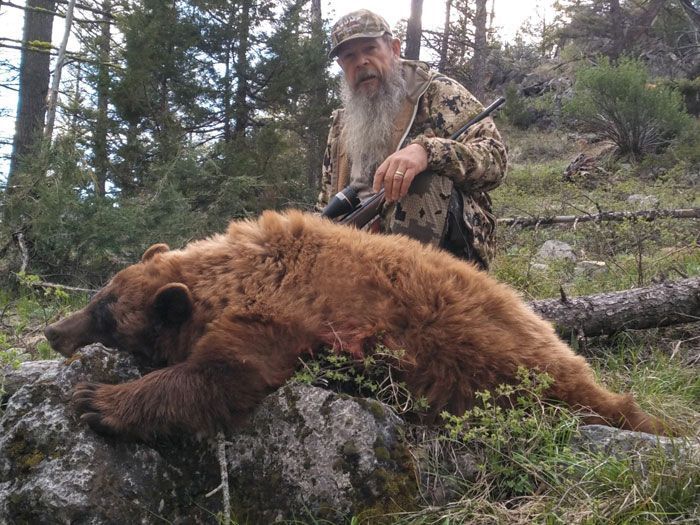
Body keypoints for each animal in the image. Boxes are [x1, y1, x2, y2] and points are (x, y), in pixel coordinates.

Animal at [44, 210, 670, 440]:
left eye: (105, 313)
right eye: (99, 295)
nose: (52, 330)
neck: (242, 270)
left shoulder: (286, 316)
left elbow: (222, 375)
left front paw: (99, 400)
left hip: (501, 368)